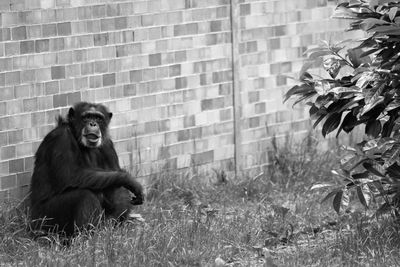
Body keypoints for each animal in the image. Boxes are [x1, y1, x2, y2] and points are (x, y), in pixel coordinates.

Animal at [28, 102, 144, 237]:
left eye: (98, 118)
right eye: (87, 117)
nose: (93, 124)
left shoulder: (108, 145)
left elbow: (116, 180)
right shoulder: (61, 138)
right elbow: (70, 174)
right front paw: (130, 180)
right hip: (44, 220)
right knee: (84, 196)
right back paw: (86, 238)